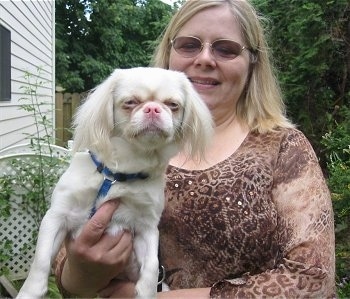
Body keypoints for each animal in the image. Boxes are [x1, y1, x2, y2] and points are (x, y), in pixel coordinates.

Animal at [16, 68, 212, 299]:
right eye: (130, 102)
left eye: (173, 105)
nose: (153, 108)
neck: (120, 175)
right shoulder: (57, 216)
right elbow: (40, 261)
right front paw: (29, 293)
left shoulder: (146, 228)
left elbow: (152, 267)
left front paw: (146, 293)